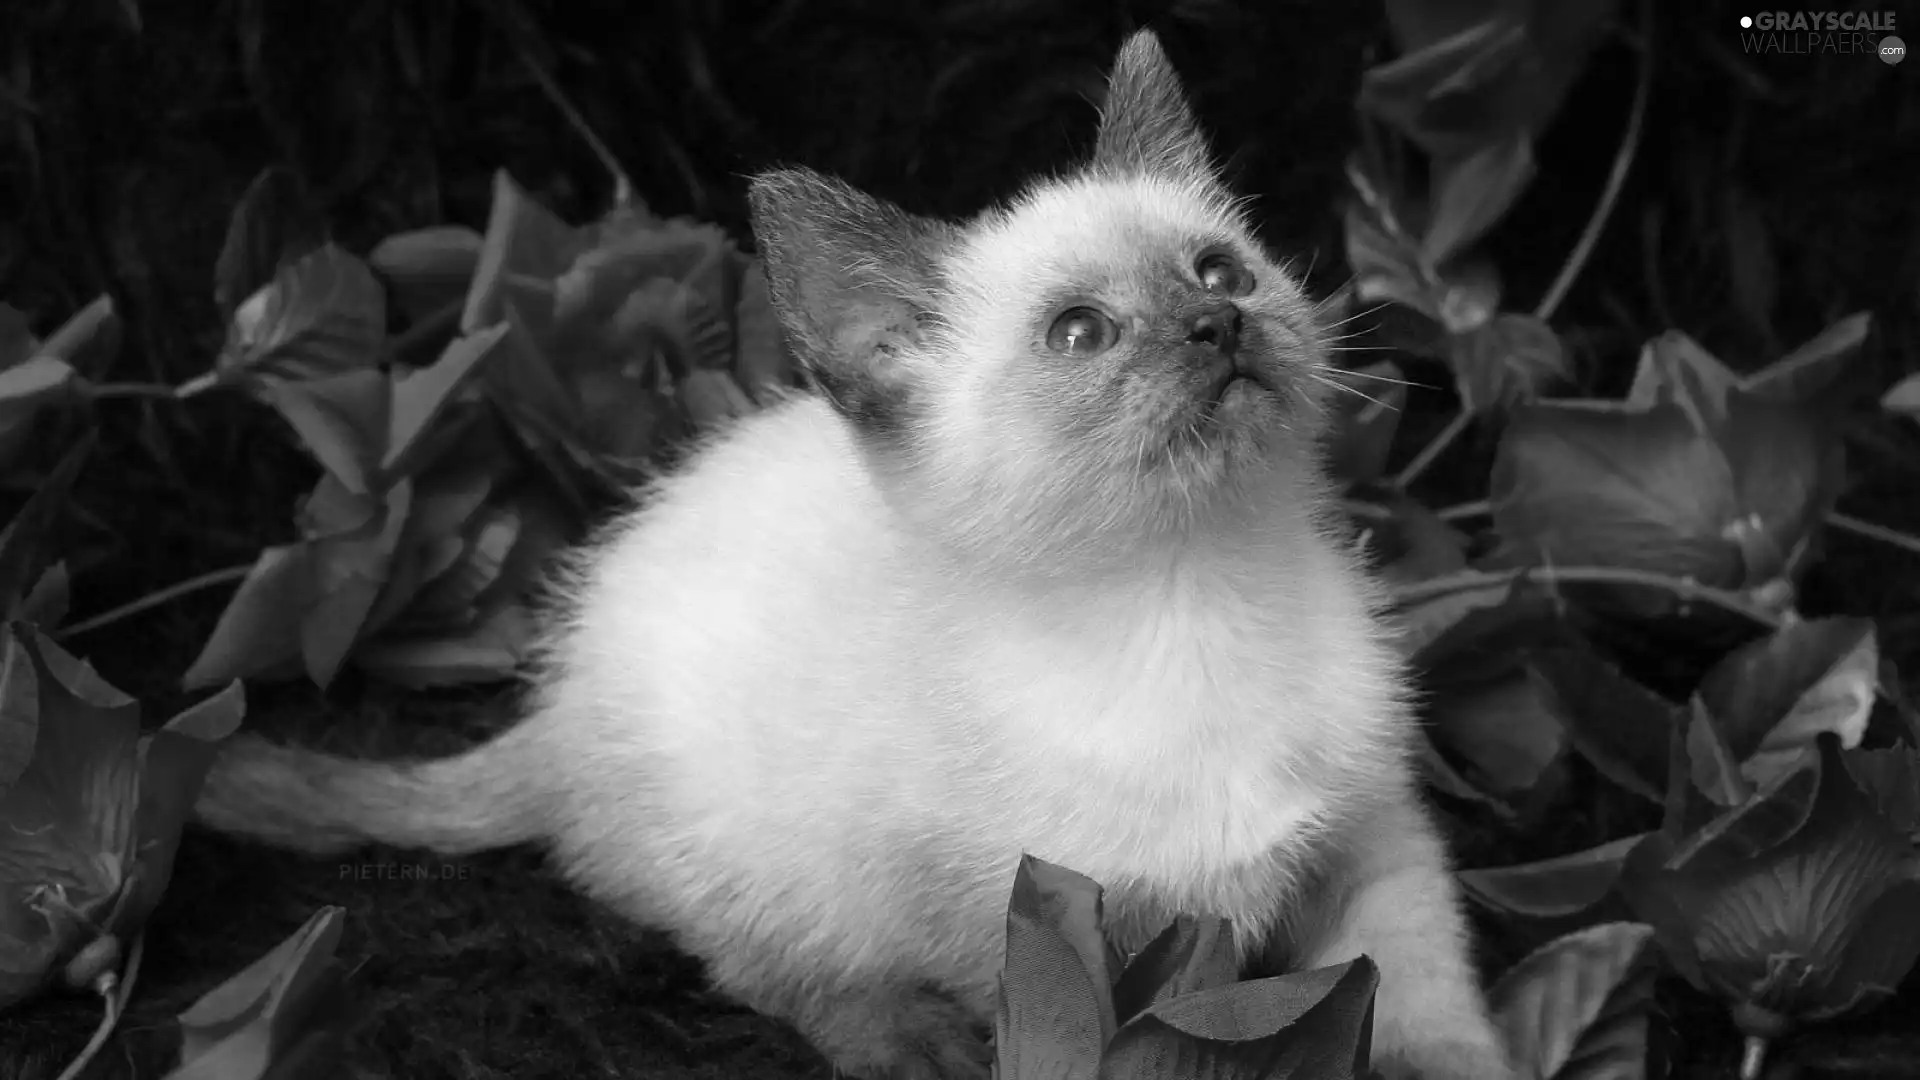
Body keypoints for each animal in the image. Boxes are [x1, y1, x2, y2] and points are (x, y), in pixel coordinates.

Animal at [191, 27, 1512, 1076]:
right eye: (1079, 334)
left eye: (1218, 268)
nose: (1216, 324)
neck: (1189, 594)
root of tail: (558, 699)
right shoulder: (1052, 938)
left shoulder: (1374, 838)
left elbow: (1421, 996)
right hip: (762, 858)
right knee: (767, 967)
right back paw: (908, 1040)